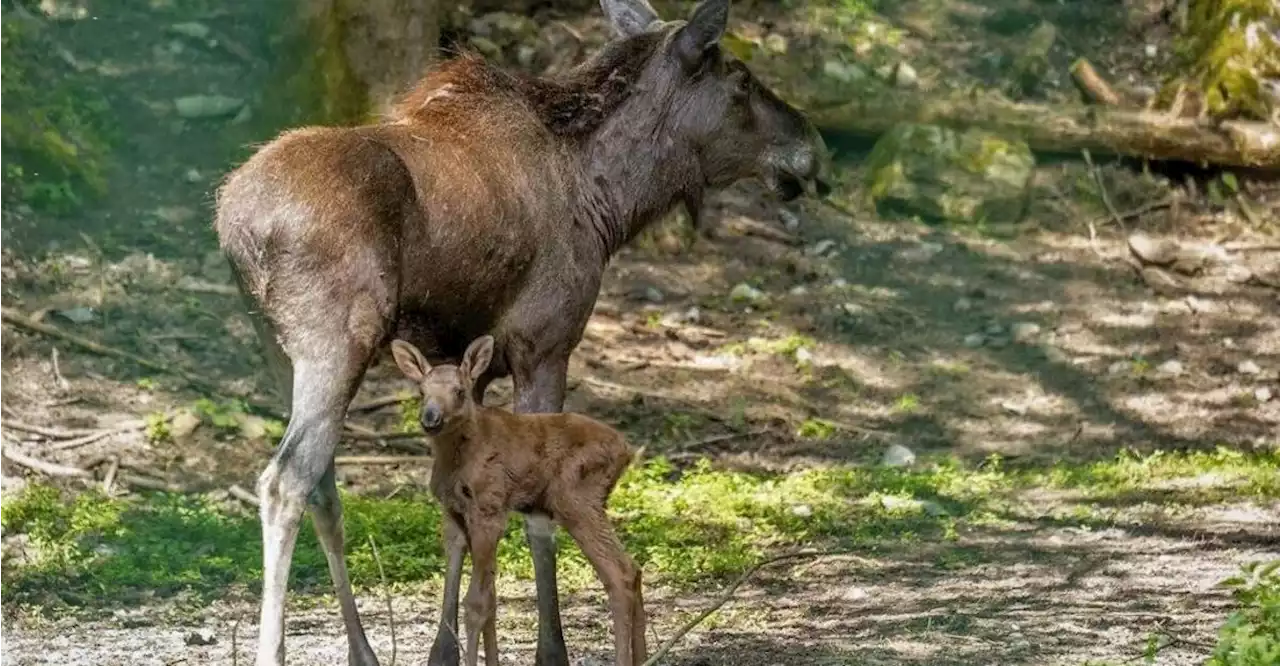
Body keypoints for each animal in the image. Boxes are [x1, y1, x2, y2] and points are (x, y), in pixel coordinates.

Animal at [389, 335, 645, 666]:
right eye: (422, 391)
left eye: (460, 391)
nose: (430, 419)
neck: (454, 459)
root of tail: (627, 452)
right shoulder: (457, 513)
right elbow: (490, 598)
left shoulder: (489, 507)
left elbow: (476, 603)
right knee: (634, 569)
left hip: (575, 499)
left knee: (619, 572)